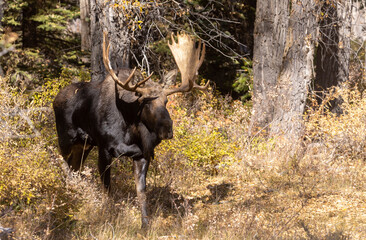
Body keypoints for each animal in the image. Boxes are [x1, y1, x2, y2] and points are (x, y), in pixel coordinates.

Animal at [52, 32, 207, 227]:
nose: (168, 129)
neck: (130, 128)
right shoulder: (105, 149)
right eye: (145, 103)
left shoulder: (143, 154)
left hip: (84, 145)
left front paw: (145, 224)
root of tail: (55, 98)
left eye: (165, 101)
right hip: (65, 140)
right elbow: (107, 187)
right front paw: (108, 216)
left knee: (75, 169)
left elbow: (141, 191)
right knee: (65, 166)